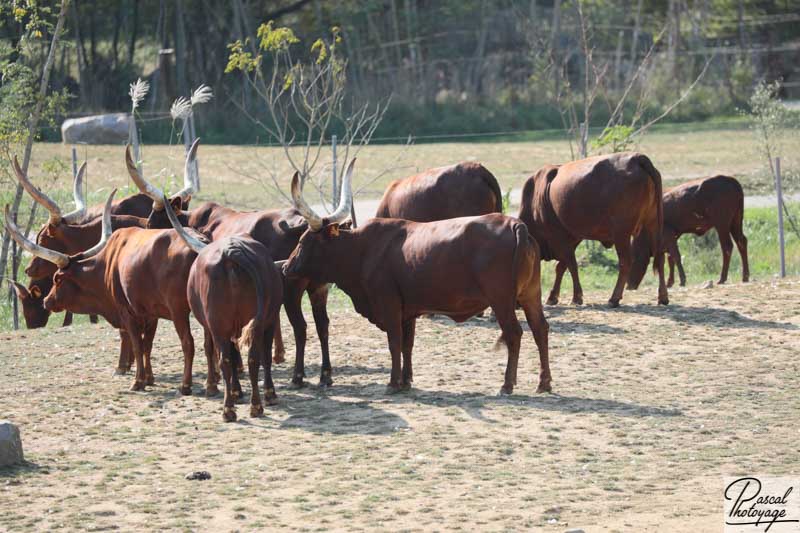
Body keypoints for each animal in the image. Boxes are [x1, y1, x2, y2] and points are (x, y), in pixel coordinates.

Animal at [4, 193, 211, 392]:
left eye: (57, 279)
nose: (47, 301)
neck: (110, 262)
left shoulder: (127, 312)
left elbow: (136, 343)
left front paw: (137, 380)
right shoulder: (151, 314)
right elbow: (147, 345)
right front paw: (149, 378)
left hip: (179, 311)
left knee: (188, 343)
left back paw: (186, 385)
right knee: (209, 342)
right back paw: (212, 382)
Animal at [124, 143, 334, 388]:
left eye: (151, 222)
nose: (145, 242)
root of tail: (302, 223)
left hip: (292, 291)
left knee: (300, 327)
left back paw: (298, 376)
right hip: (318, 288)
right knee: (322, 325)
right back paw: (325, 374)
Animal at [164, 197, 282, 422]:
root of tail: (231, 252)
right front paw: (248, 392)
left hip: (222, 325)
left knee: (232, 359)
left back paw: (234, 408)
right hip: (247, 323)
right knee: (248, 358)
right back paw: (250, 406)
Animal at [282, 160, 552, 392]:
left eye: (303, 242)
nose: (285, 268)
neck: (364, 249)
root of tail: (516, 225)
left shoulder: (389, 305)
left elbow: (394, 342)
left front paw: (393, 383)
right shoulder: (408, 309)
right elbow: (407, 345)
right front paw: (406, 380)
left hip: (501, 299)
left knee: (514, 333)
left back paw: (507, 384)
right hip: (531, 294)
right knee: (540, 329)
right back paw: (544, 383)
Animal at [520, 152, 668, 306]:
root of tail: (637, 158)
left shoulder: (559, 236)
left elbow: (571, 265)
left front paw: (576, 297)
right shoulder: (574, 237)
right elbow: (562, 266)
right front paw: (553, 296)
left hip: (622, 234)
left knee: (626, 262)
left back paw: (614, 298)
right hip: (653, 225)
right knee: (660, 257)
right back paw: (663, 297)